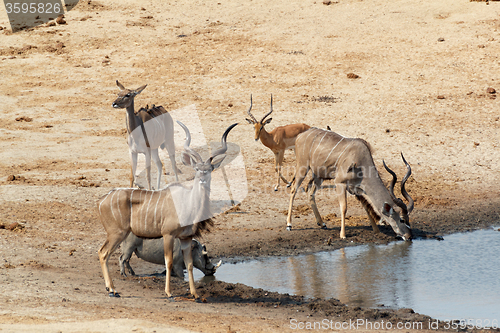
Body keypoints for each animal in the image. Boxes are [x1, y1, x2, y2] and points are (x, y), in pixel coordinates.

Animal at [98, 121, 239, 298]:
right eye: (197, 169)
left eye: (209, 169)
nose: (202, 180)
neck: (187, 203)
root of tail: (102, 200)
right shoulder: (168, 234)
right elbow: (169, 261)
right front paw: (169, 293)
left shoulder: (185, 238)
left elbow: (189, 264)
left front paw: (195, 294)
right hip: (117, 233)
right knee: (103, 253)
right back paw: (112, 290)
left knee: (103, 252)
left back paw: (111, 288)